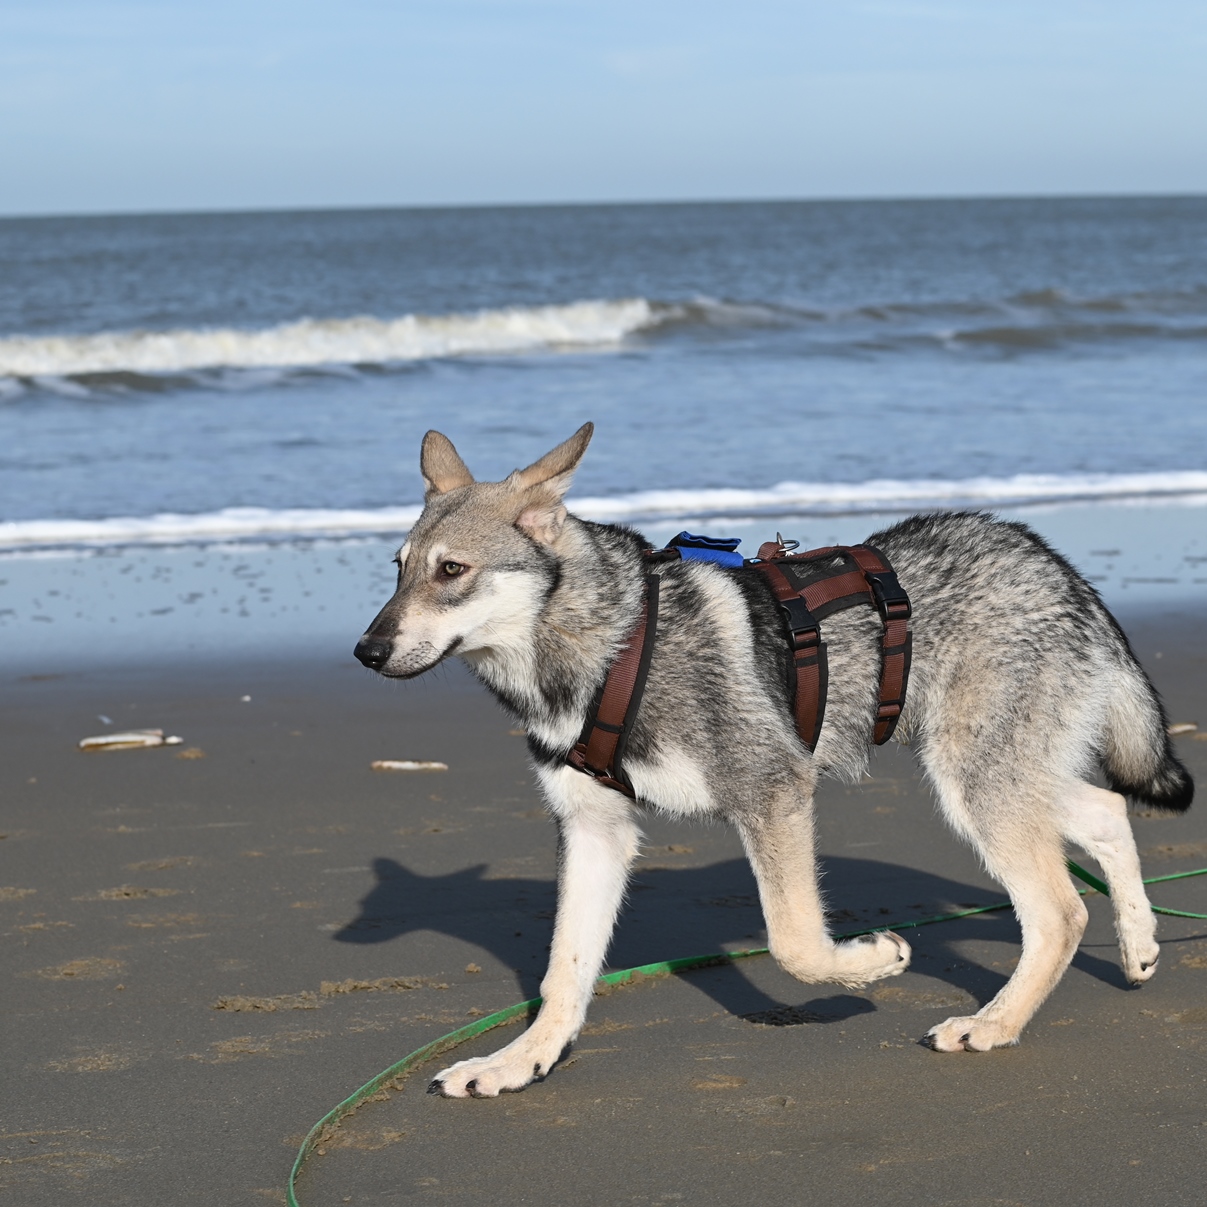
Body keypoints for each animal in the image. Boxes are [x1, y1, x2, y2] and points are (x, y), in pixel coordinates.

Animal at [352, 422, 1192, 1095]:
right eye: (397, 567)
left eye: (451, 571)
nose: (365, 650)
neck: (610, 647)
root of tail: (1051, 561)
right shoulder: (593, 831)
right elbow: (562, 973)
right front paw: (519, 1061)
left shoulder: (772, 788)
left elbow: (793, 942)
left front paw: (870, 961)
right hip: (998, 776)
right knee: (1105, 810)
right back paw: (1138, 945)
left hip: (974, 785)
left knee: (1057, 910)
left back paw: (994, 1021)